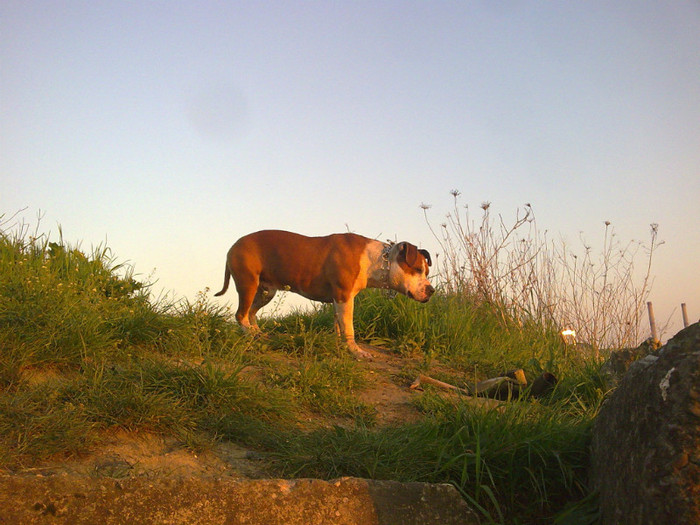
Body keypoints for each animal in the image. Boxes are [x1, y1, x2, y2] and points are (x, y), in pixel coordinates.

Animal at [213, 228, 432, 356]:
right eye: (418, 269)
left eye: (427, 271)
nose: (431, 290)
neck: (378, 260)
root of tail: (234, 245)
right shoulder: (344, 297)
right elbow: (349, 327)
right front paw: (355, 351)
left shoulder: (339, 300)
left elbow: (339, 325)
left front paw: (340, 344)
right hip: (247, 283)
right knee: (241, 314)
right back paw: (250, 336)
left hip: (266, 291)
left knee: (250, 312)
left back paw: (258, 334)